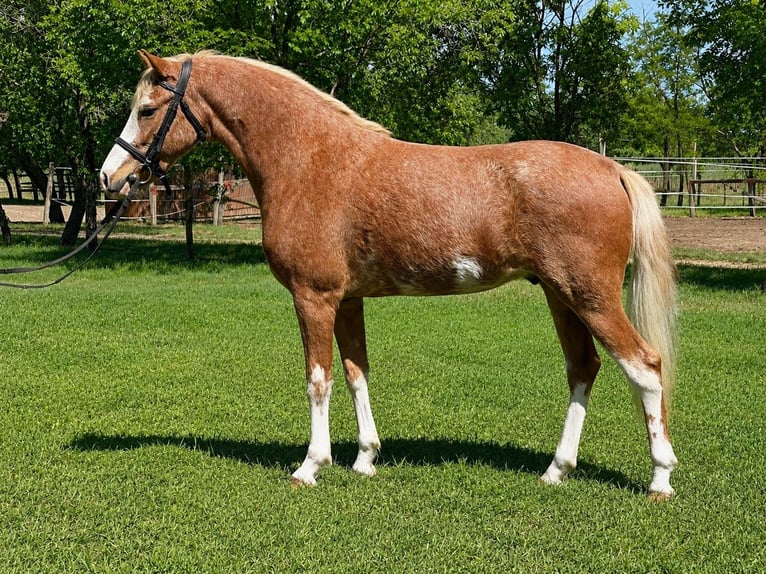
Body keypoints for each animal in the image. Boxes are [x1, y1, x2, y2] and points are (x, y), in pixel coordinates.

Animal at [99, 51, 678, 500]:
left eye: (147, 109)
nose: (110, 177)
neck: (310, 159)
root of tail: (613, 169)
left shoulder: (314, 297)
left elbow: (318, 379)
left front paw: (310, 466)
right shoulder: (347, 300)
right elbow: (357, 372)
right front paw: (365, 458)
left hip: (591, 297)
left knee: (645, 367)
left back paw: (659, 479)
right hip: (562, 297)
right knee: (583, 369)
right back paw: (556, 471)